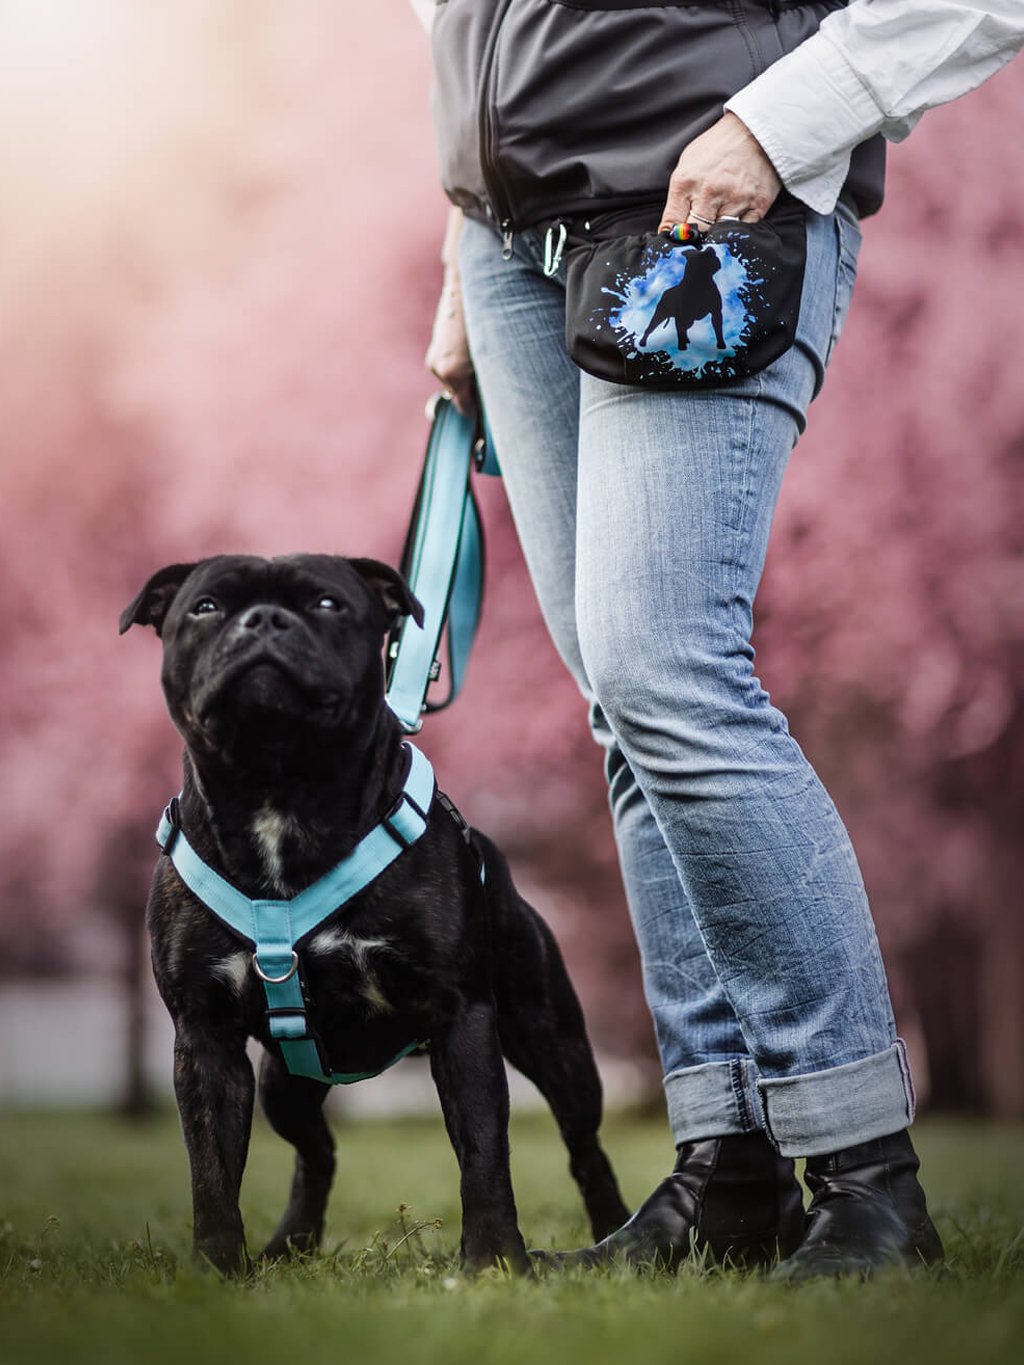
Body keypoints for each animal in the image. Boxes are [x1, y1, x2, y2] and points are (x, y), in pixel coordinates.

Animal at [123, 551, 630, 1266]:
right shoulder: (204, 1039)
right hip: (285, 1085)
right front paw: (216, 1269)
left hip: (555, 1044)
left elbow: (484, 1153)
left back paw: (614, 1228)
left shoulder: (462, 1020)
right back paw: (291, 1244)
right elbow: (211, 1172)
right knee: (318, 1153)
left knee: (585, 1145)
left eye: (329, 604)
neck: (281, 789)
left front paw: (494, 1261)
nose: (264, 619)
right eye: (205, 606)